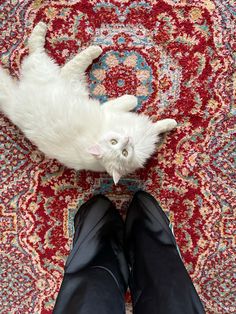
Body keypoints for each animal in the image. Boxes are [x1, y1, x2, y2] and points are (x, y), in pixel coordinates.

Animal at [0, 22, 177, 184]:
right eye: (122, 150)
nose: (128, 139)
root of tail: (15, 103)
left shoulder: (144, 130)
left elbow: (158, 125)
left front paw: (170, 123)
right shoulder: (111, 110)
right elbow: (134, 106)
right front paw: (135, 100)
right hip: (47, 71)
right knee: (39, 52)